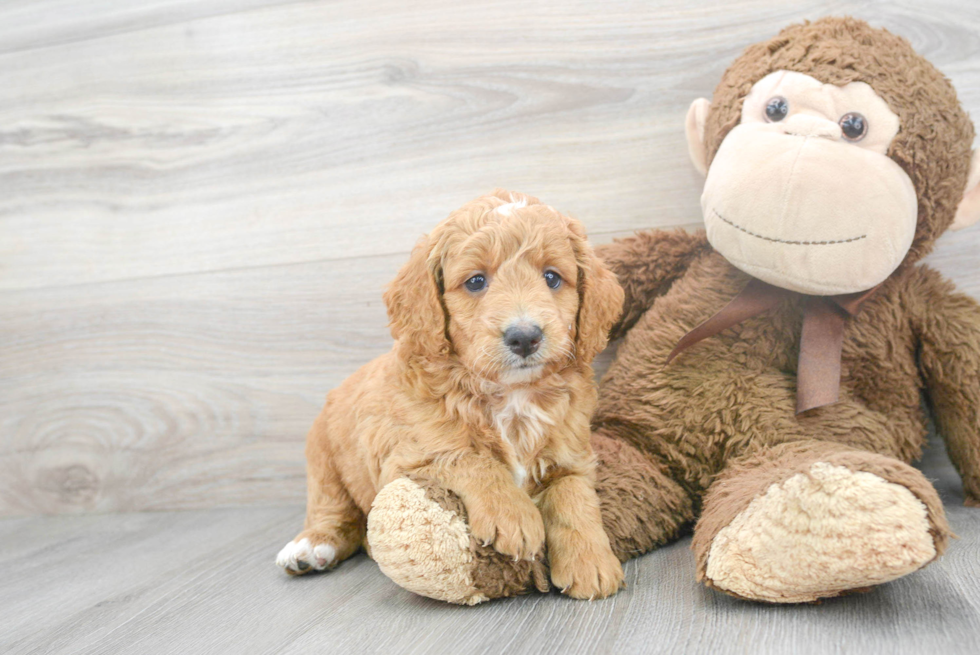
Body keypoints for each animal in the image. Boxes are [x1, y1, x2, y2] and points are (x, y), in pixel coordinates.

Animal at [276, 188, 628, 600]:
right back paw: (310, 547)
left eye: (552, 278)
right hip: (324, 462)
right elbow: (467, 458)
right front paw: (514, 516)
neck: (511, 395)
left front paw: (591, 562)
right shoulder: (405, 458)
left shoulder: (573, 454)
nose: (524, 337)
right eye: (475, 281)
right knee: (334, 513)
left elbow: (573, 494)